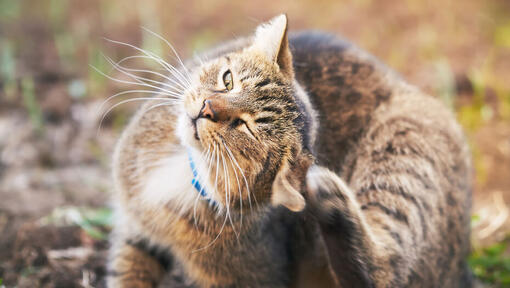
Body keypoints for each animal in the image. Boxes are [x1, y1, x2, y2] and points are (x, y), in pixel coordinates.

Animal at [106, 14, 470, 288]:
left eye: (246, 127)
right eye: (228, 80)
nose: (207, 108)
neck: (189, 169)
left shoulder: (254, 277)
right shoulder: (137, 235)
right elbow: (126, 275)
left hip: (403, 146)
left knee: (387, 270)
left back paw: (332, 197)